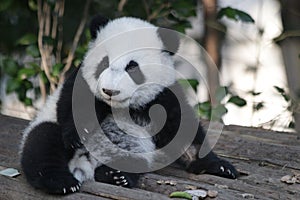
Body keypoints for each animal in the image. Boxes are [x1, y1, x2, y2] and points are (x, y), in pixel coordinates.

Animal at [19, 16, 238, 195]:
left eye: (132, 67)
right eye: (104, 63)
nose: (109, 91)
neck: (120, 107)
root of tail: (85, 164)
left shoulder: (162, 95)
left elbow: (184, 131)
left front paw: (219, 166)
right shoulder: (79, 81)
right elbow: (71, 106)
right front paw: (77, 134)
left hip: (134, 151)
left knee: (132, 162)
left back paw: (116, 176)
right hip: (46, 130)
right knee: (43, 143)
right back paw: (62, 182)